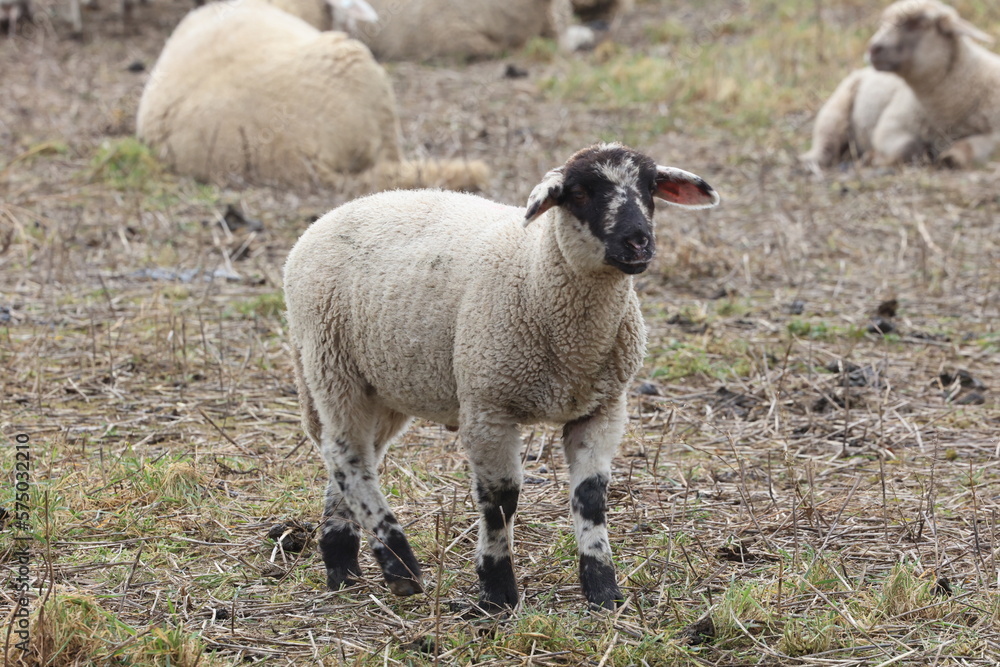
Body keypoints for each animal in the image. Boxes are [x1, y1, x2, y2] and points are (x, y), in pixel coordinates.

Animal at [283, 143, 720, 611]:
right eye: (580, 192)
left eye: (651, 186)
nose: (638, 241)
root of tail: (328, 218)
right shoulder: (487, 404)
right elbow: (500, 501)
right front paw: (497, 591)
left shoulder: (603, 408)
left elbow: (591, 497)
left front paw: (603, 589)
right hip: (330, 363)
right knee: (347, 456)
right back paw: (399, 567)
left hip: (381, 383)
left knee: (353, 457)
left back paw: (343, 566)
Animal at [867, 0, 1000, 168]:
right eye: (883, 23)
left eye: (917, 24)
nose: (873, 49)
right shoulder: (888, 127)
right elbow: (909, 147)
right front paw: (878, 158)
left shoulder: (994, 133)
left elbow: (968, 146)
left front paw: (952, 157)